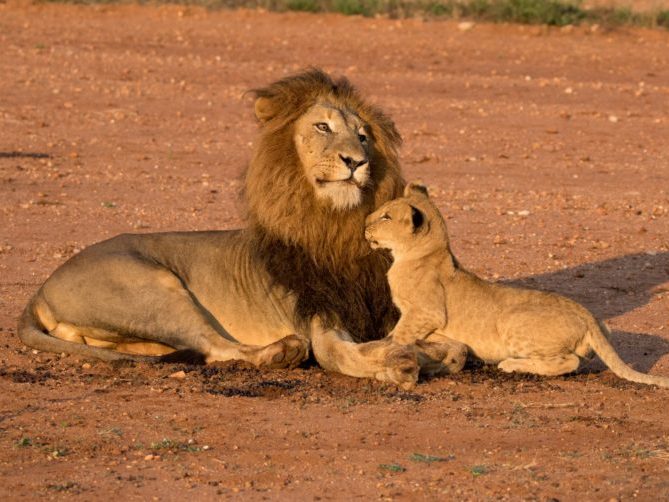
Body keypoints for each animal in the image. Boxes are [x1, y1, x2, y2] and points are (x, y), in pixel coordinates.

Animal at [17, 69, 420, 388]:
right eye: (323, 126)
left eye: (363, 136)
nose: (357, 161)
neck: (335, 225)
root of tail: (42, 289)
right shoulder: (320, 319)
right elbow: (340, 354)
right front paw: (397, 361)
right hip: (155, 288)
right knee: (214, 346)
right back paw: (282, 352)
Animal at [364, 183, 669, 388]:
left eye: (386, 216)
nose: (365, 223)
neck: (418, 253)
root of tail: (586, 316)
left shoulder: (426, 313)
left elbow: (398, 335)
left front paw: (380, 349)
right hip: (600, 327)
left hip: (512, 321)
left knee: (567, 361)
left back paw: (510, 364)